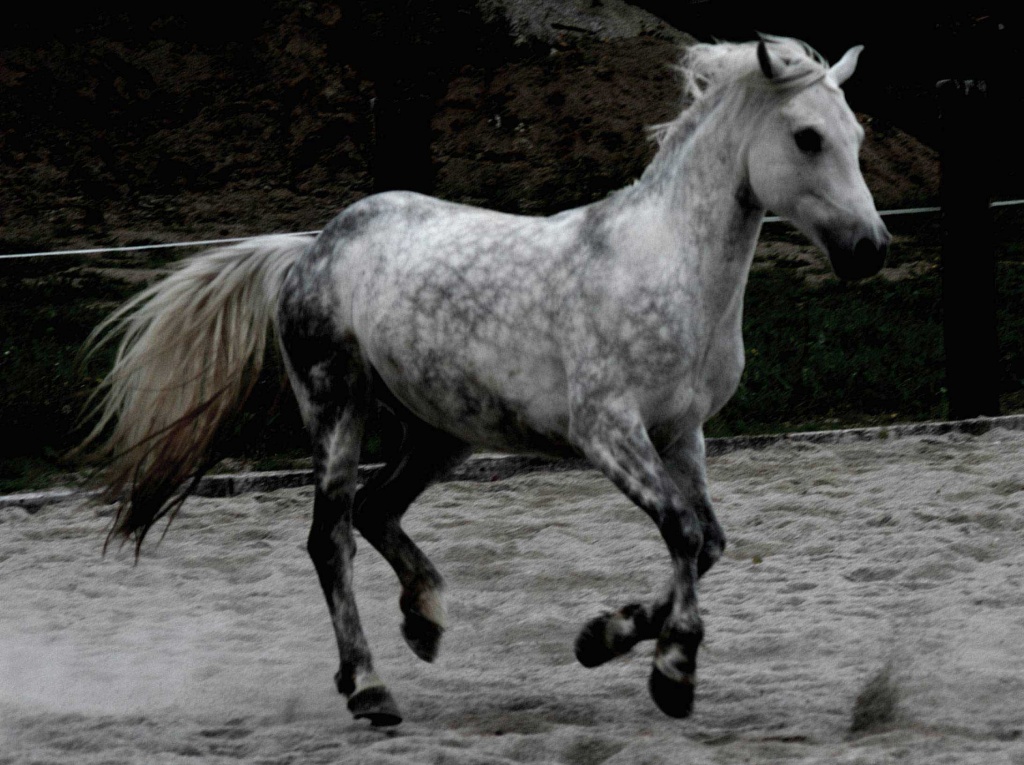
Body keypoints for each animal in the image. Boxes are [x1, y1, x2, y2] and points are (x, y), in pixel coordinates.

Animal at [81, 36, 890, 727]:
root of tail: (310, 247)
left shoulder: (681, 434)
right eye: (807, 137)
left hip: (440, 432)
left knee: (376, 510)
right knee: (330, 538)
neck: (667, 266)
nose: (870, 250)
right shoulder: (609, 432)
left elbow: (709, 542)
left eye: (856, 136)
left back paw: (422, 621)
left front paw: (600, 638)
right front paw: (672, 673)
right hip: (336, 405)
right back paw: (370, 686)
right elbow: (683, 531)